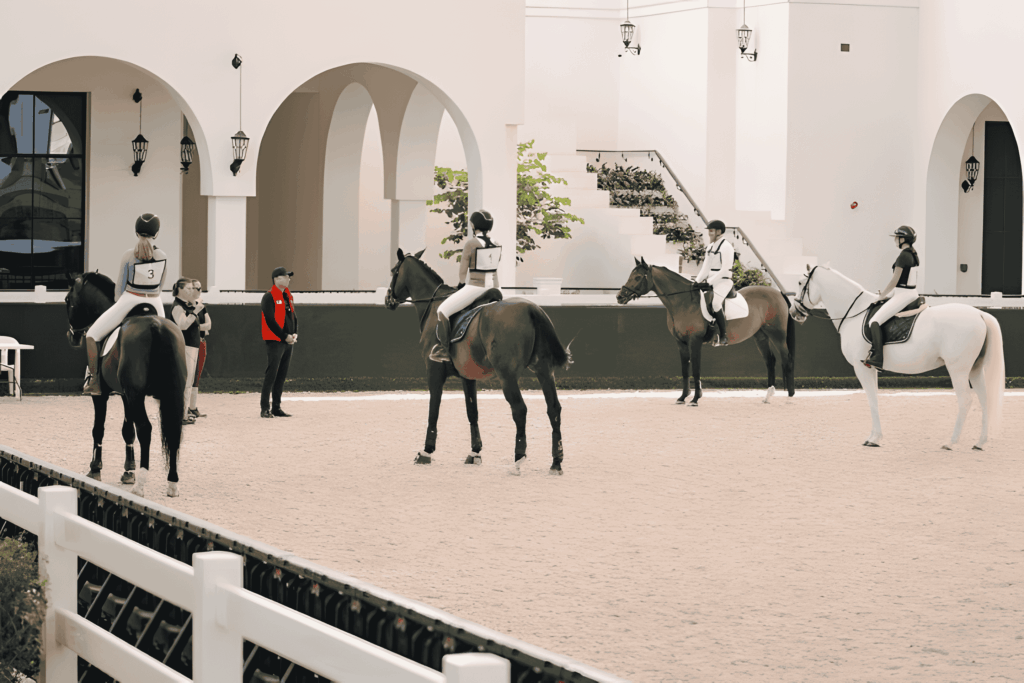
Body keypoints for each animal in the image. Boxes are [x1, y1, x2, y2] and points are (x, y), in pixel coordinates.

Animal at [65, 272, 188, 496]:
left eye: (67, 300)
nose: (73, 336)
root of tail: (155, 326)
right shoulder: (125, 395)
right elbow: (127, 431)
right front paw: (128, 471)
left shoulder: (102, 395)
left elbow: (99, 428)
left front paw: (95, 468)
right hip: (167, 394)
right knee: (173, 431)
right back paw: (172, 483)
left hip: (137, 396)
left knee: (145, 429)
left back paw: (141, 484)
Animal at [384, 249, 572, 474]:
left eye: (394, 271)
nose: (388, 300)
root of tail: (531, 309)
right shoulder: (467, 376)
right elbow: (472, 411)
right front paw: (475, 452)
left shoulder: (434, 371)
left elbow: (433, 410)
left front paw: (426, 451)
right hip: (544, 371)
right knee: (554, 409)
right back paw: (556, 462)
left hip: (507, 376)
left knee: (520, 410)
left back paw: (518, 459)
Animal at [616, 257, 796, 406]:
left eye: (638, 277)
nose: (619, 296)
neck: (683, 302)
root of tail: (779, 293)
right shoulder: (681, 343)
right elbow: (685, 370)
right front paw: (682, 397)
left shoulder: (694, 341)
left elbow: (696, 369)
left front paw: (695, 399)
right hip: (761, 336)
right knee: (770, 361)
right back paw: (767, 397)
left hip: (777, 335)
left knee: (787, 360)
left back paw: (790, 398)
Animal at [793, 264, 1004, 449]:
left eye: (801, 283)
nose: (795, 313)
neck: (854, 312)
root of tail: (979, 314)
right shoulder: (870, 367)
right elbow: (875, 399)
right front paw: (875, 437)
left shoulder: (861, 367)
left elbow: (871, 400)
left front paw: (874, 439)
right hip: (975, 369)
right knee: (985, 399)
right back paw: (980, 443)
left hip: (958, 369)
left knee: (965, 400)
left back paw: (951, 443)